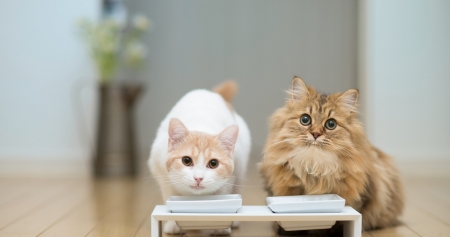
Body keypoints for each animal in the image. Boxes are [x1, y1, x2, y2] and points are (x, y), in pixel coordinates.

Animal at [149, 81, 251, 233]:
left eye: (214, 163)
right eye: (186, 160)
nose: (198, 178)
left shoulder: (232, 175)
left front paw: (220, 226)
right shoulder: (160, 170)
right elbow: (169, 196)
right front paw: (173, 223)